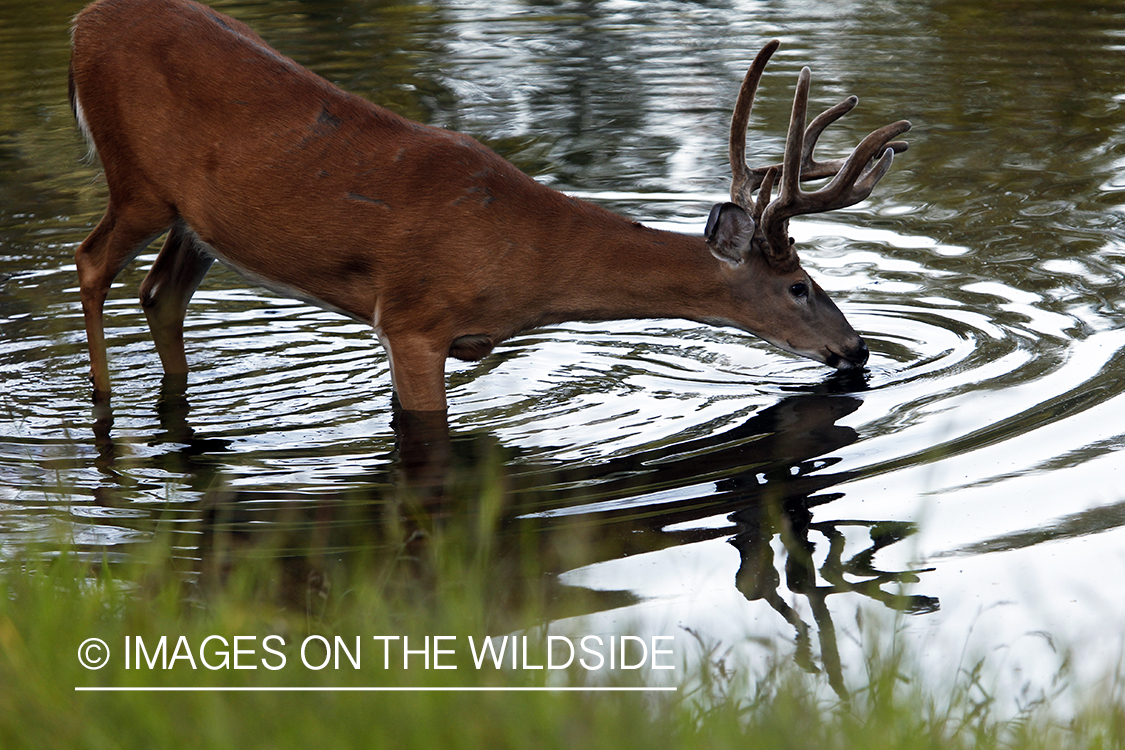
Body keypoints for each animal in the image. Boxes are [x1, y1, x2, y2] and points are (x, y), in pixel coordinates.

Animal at [68, 0, 913, 413]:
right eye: (799, 285)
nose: (856, 350)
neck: (527, 259)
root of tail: (85, 20)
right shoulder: (412, 317)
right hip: (136, 180)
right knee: (90, 263)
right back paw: (102, 404)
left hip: (196, 222)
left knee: (160, 294)